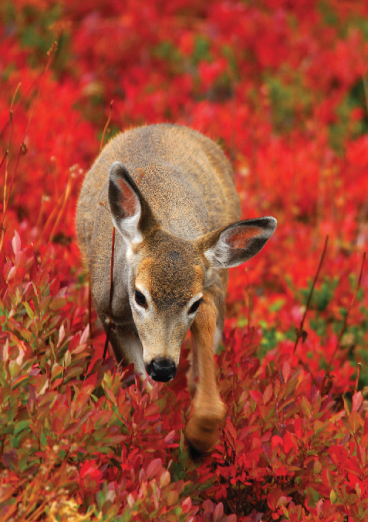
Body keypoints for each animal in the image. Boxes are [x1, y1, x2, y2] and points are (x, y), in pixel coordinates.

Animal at [75, 123, 276, 450]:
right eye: (139, 296)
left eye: (192, 303)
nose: (164, 366)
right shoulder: (108, 312)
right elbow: (140, 379)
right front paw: (154, 430)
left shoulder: (209, 287)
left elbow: (205, 326)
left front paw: (200, 429)